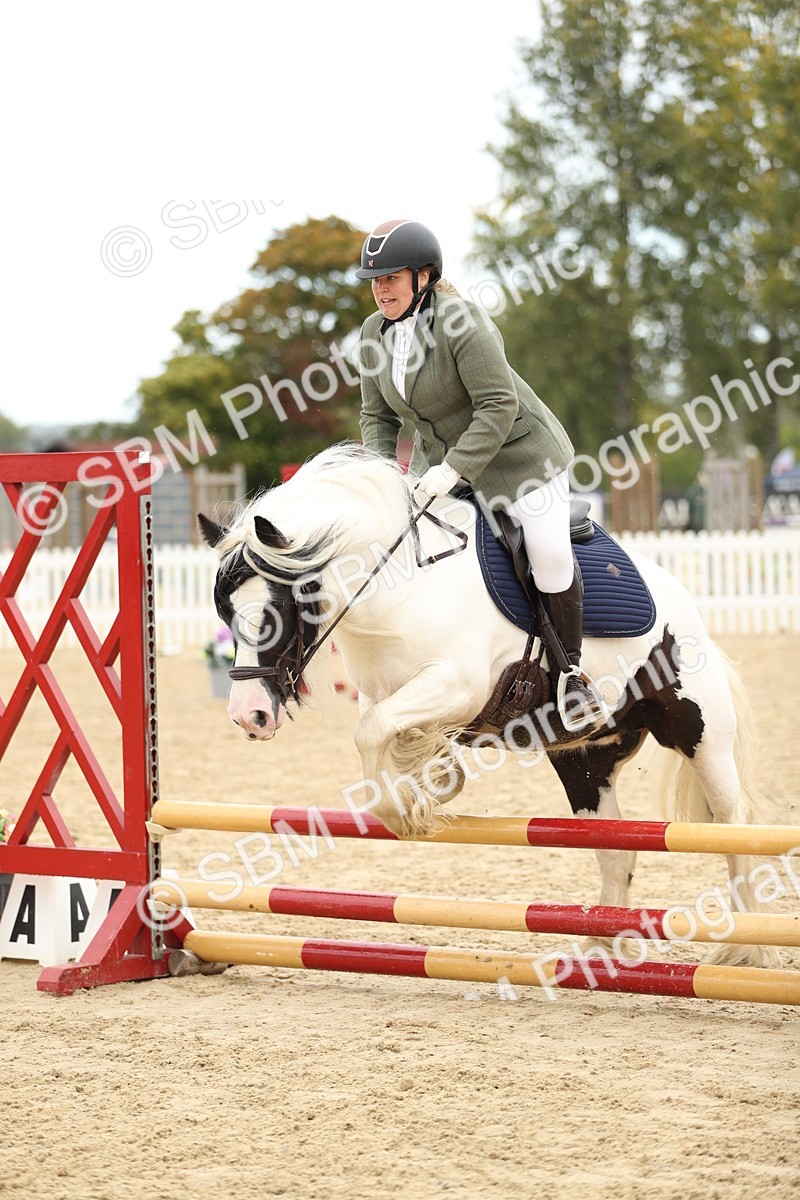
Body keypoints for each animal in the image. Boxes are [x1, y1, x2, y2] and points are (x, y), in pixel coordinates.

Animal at [199, 443, 781, 969]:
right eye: (225, 611)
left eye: (275, 614)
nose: (248, 715)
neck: (395, 584)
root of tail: (687, 608)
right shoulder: (387, 692)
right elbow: (380, 736)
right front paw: (426, 782)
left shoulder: (457, 685)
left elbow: (371, 733)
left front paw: (406, 809)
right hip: (585, 760)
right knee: (616, 848)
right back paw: (600, 951)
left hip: (698, 733)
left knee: (733, 827)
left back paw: (746, 948)